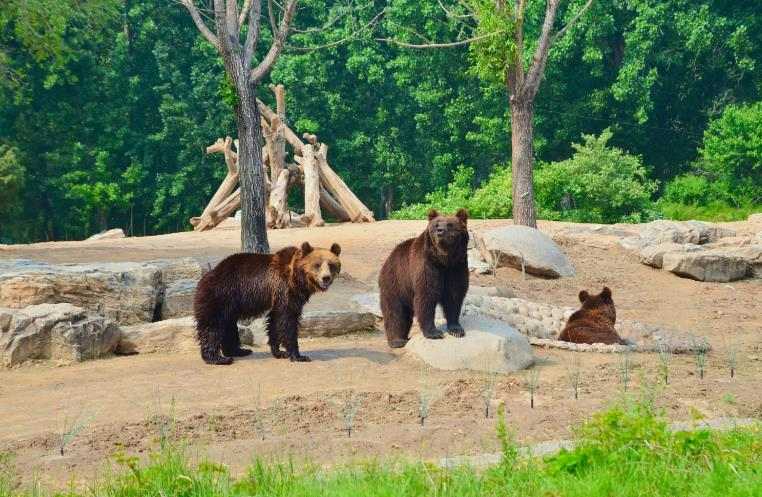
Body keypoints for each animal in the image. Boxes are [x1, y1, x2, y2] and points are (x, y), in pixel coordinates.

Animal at [193, 241, 342, 364]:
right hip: (220, 296)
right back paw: (217, 358)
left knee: (228, 326)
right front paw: (299, 355)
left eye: (331, 265)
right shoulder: (285, 289)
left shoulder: (280, 297)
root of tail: (206, 276)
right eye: (317, 265)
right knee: (212, 326)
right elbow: (288, 320)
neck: (297, 279)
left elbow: (276, 321)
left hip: (229, 306)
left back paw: (239, 351)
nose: (326, 278)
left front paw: (279, 352)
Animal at [376, 207, 466, 346]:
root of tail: (389, 258)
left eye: (450, 224)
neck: (444, 260)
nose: (440, 231)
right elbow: (426, 296)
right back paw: (397, 340)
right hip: (396, 282)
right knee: (395, 311)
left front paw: (456, 329)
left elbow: (454, 295)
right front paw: (434, 333)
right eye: (436, 225)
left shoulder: (456, 267)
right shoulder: (427, 266)